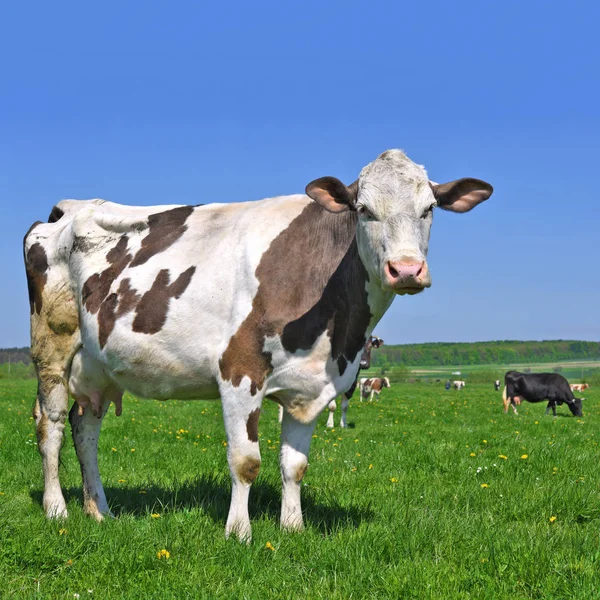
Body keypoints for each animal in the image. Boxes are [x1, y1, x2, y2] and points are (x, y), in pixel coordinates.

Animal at [23, 149, 492, 540]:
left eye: (429, 209)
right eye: (363, 210)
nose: (406, 269)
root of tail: (71, 207)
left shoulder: (311, 385)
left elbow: (295, 466)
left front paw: (293, 528)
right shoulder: (239, 371)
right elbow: (245, 462)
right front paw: (239, 533)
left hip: (97, 367)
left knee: (86, 430)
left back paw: (100, 510)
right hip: (52, 349)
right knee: (52, 426)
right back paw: (57, 509)